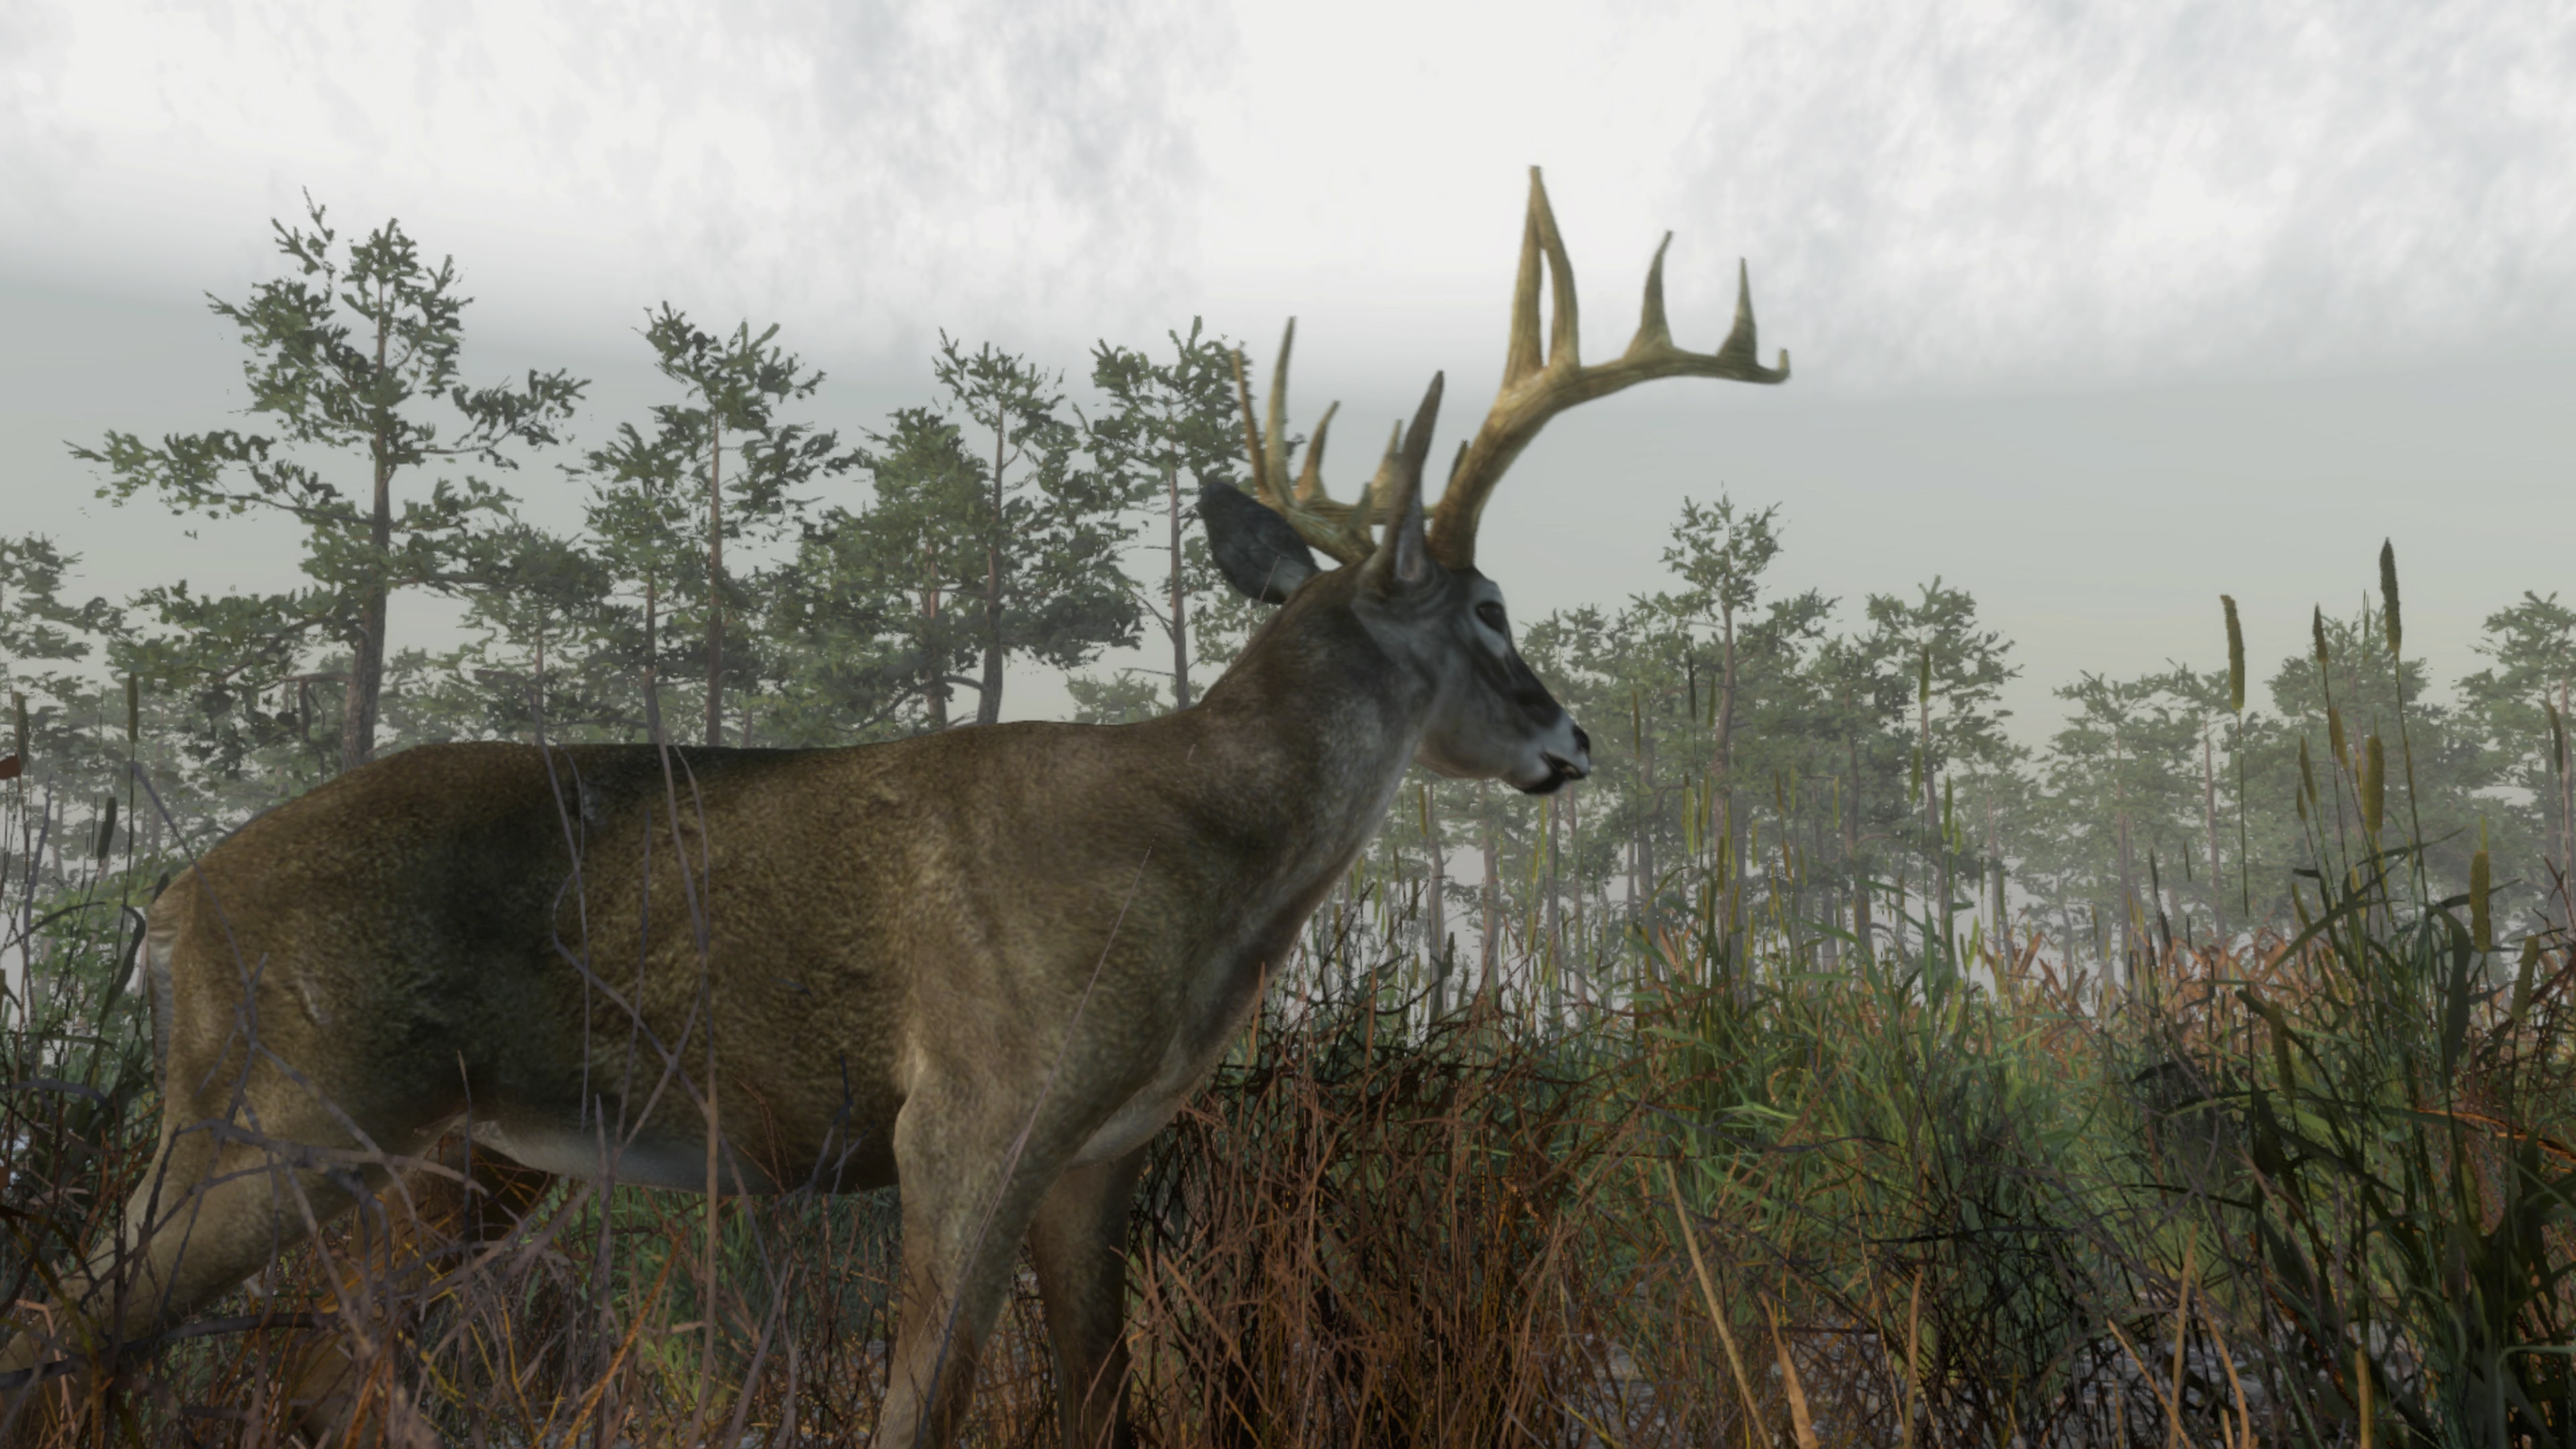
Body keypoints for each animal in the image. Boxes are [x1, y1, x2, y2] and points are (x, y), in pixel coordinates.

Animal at [0, 167, 1786, 1448]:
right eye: (1487, 609)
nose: (1571, 739)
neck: (1201, 866)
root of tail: (170, 906)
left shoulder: (1097, 1153)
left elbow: (1100, 1407)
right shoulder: (971, 1107)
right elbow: (920, 1406)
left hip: (455, 1160)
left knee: (322, 1372)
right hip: (278, 1100)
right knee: (69, 1326)